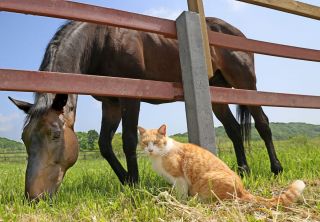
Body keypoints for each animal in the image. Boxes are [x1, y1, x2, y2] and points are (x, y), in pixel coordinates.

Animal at [9, 18, 282, 200]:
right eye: (24, 138)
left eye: (56, 135)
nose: (34, 197)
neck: (102, 39)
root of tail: (235, 32)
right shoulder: (110, 103)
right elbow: (104, 144)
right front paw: (127, 180)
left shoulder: (131, 98)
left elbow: (129, 140)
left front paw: (136, 183)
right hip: (218, 93)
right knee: (234, 129)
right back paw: (243, 171)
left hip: (246, 83)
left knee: (262, 123)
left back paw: (276, 169)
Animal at [138, 124, 304, 206]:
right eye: (145, 143)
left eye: (156, 142)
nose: (150, 149)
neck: (159, 155)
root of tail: (242, 189)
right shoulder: (173, 181)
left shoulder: (180, 179)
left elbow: (181, 194)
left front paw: (180, 203)